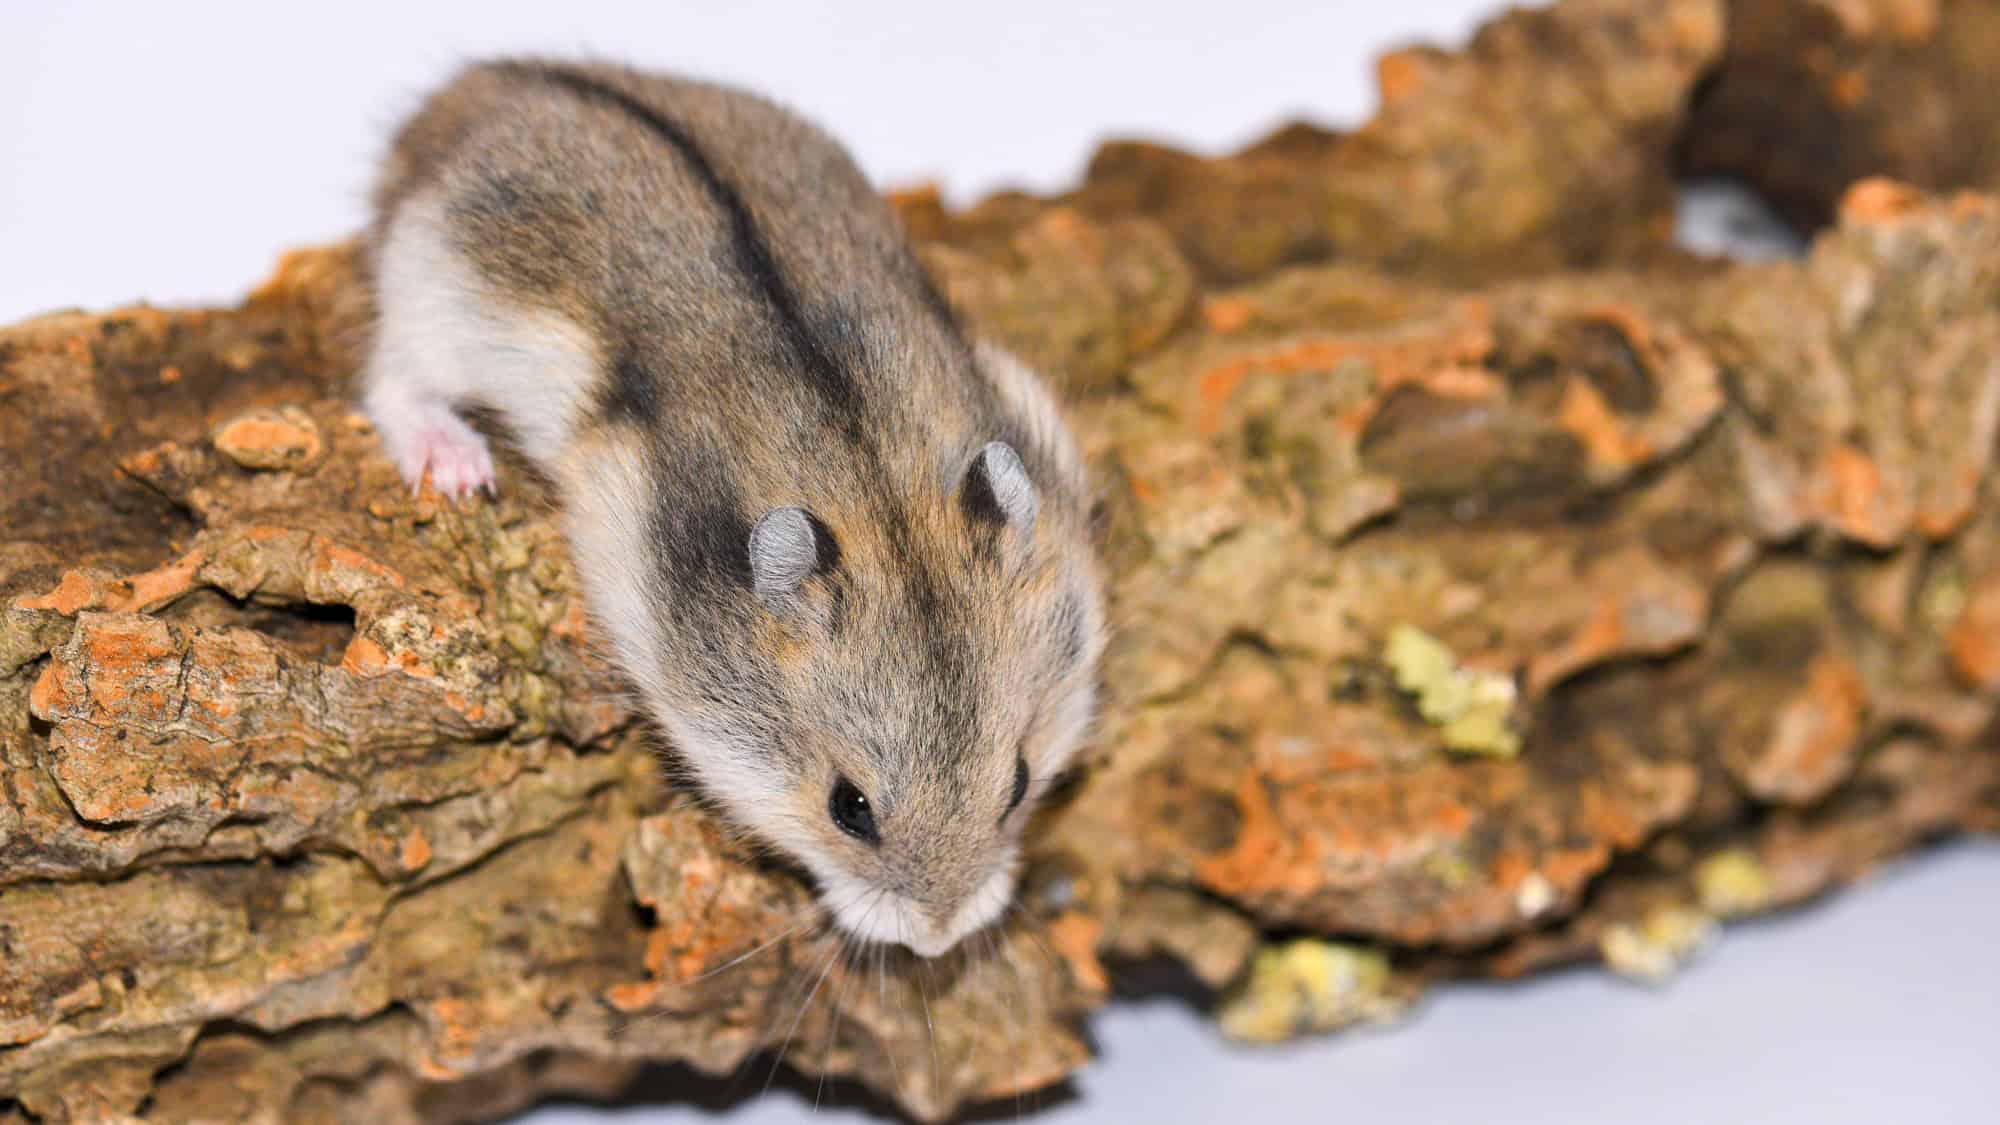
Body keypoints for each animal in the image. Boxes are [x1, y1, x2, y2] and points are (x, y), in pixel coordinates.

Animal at [359, 59, 1106, 958]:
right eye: (848, 807)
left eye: (1020, 780)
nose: (938, 937)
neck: (876, 493)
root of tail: (470, 90)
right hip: (427, 301)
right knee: (389, 382)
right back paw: (460, 468)